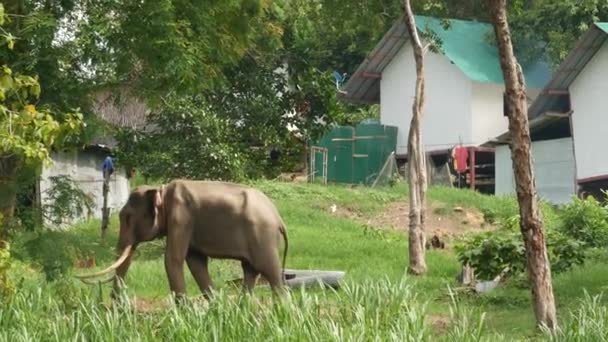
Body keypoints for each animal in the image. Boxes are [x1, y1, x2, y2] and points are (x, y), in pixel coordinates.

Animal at [76, 179, 290, 302]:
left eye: (128, 217)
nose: (114, 300)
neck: (161, 189)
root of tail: (279, 218)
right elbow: (195, 261)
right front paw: (216, 306)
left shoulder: (181, 217)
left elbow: (173, 259)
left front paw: (184, 311)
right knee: (250, 271)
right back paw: (243, 308)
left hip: (263, 236)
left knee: (270, 272)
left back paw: (282, 310)